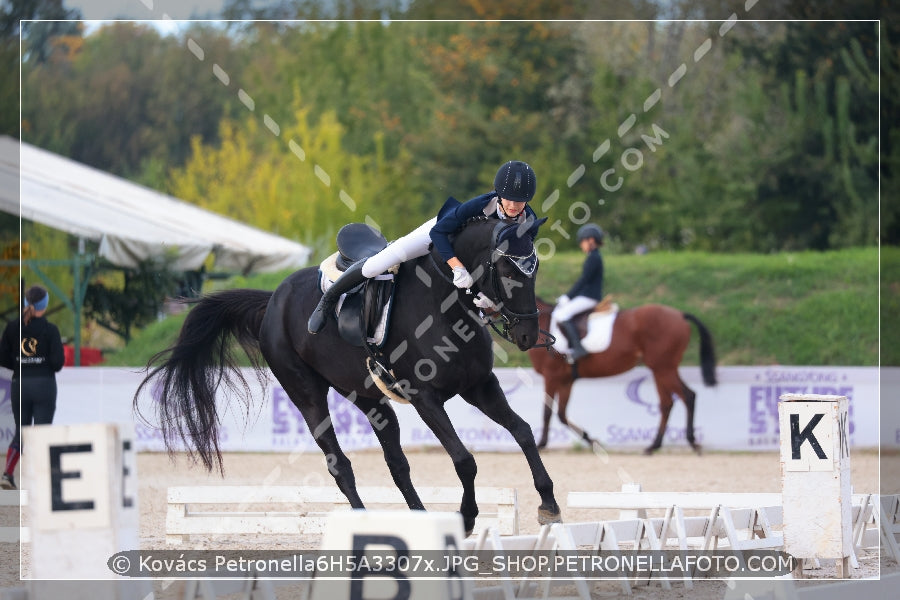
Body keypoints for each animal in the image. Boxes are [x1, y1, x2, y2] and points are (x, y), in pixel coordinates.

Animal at [134, 217, 560, 536]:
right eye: (505, 267)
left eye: (535, 267)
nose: (527, 335)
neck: (444, 303)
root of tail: (273, 300)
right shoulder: (425, 397)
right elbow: (464, 459)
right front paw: (468, 518)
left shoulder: (479, 386)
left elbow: (522, 432)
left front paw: (549, 505)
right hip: (306, 395)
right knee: (339, 464)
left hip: (368, 398)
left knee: (396, 463)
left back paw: (419, 521)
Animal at [528, 300, 716, 454]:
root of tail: (680, 314)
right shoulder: (566, 380)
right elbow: (561, 414)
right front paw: (593, 441)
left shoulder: (551, 376)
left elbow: (547, 412)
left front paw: (541, 444)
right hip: (662, 369)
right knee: (667, 403)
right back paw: (654, 446)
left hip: (664, 368)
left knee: (687, 396)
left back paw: (691, 443)